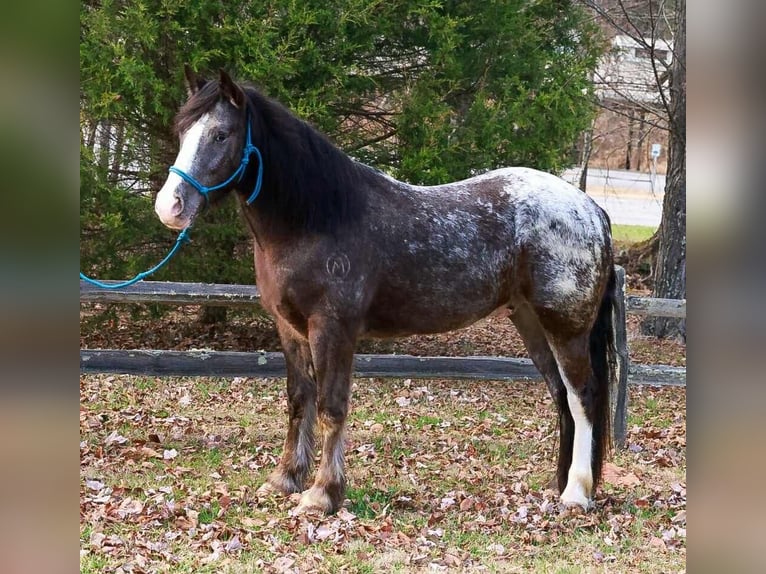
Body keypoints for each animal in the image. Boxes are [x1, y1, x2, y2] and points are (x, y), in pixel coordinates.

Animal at [155, 68, 617, 515]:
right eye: (183, 131)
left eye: (221, 134)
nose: (170, 206)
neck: (316, 217)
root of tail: (592, 209)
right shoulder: (290, 329)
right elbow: (299, 401)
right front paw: (284, 479)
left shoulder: (333, 329)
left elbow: (331, 407)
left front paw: (322, 495)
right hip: (531, 323)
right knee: (561, 398)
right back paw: (560, 486)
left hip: (566, 328)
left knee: (583, 398)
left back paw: (577, 494)